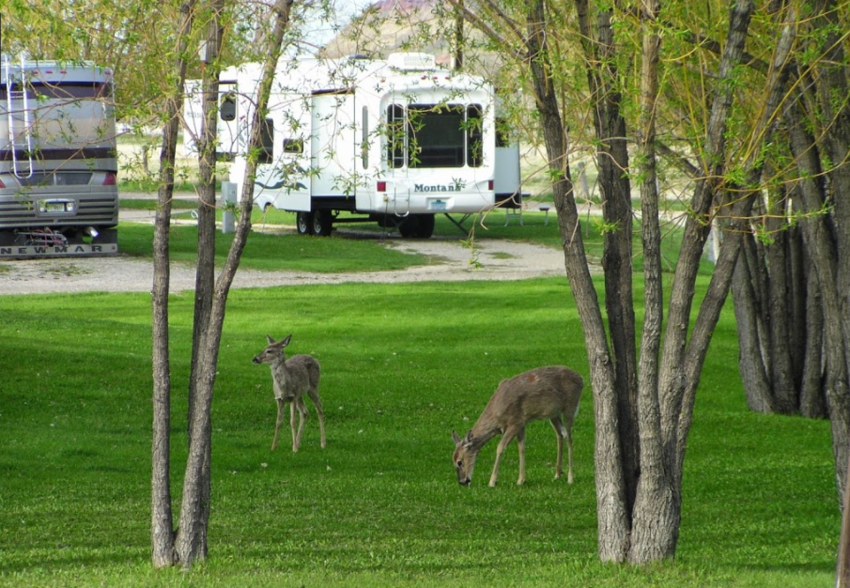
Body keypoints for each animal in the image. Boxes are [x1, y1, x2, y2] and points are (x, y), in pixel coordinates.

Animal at [450, 368, 584, 486]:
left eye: (459, 462)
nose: (462, 482)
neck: (497, 415)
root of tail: (581, 379)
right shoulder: (521, 423)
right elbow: (521, 447)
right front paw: (521, 480)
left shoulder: (515, 422)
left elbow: (500, 447)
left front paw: (492, 482)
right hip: (554, 414)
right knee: (560, 434)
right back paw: (557, 474)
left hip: (570, 407)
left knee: (570, 438)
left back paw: (570, 478)